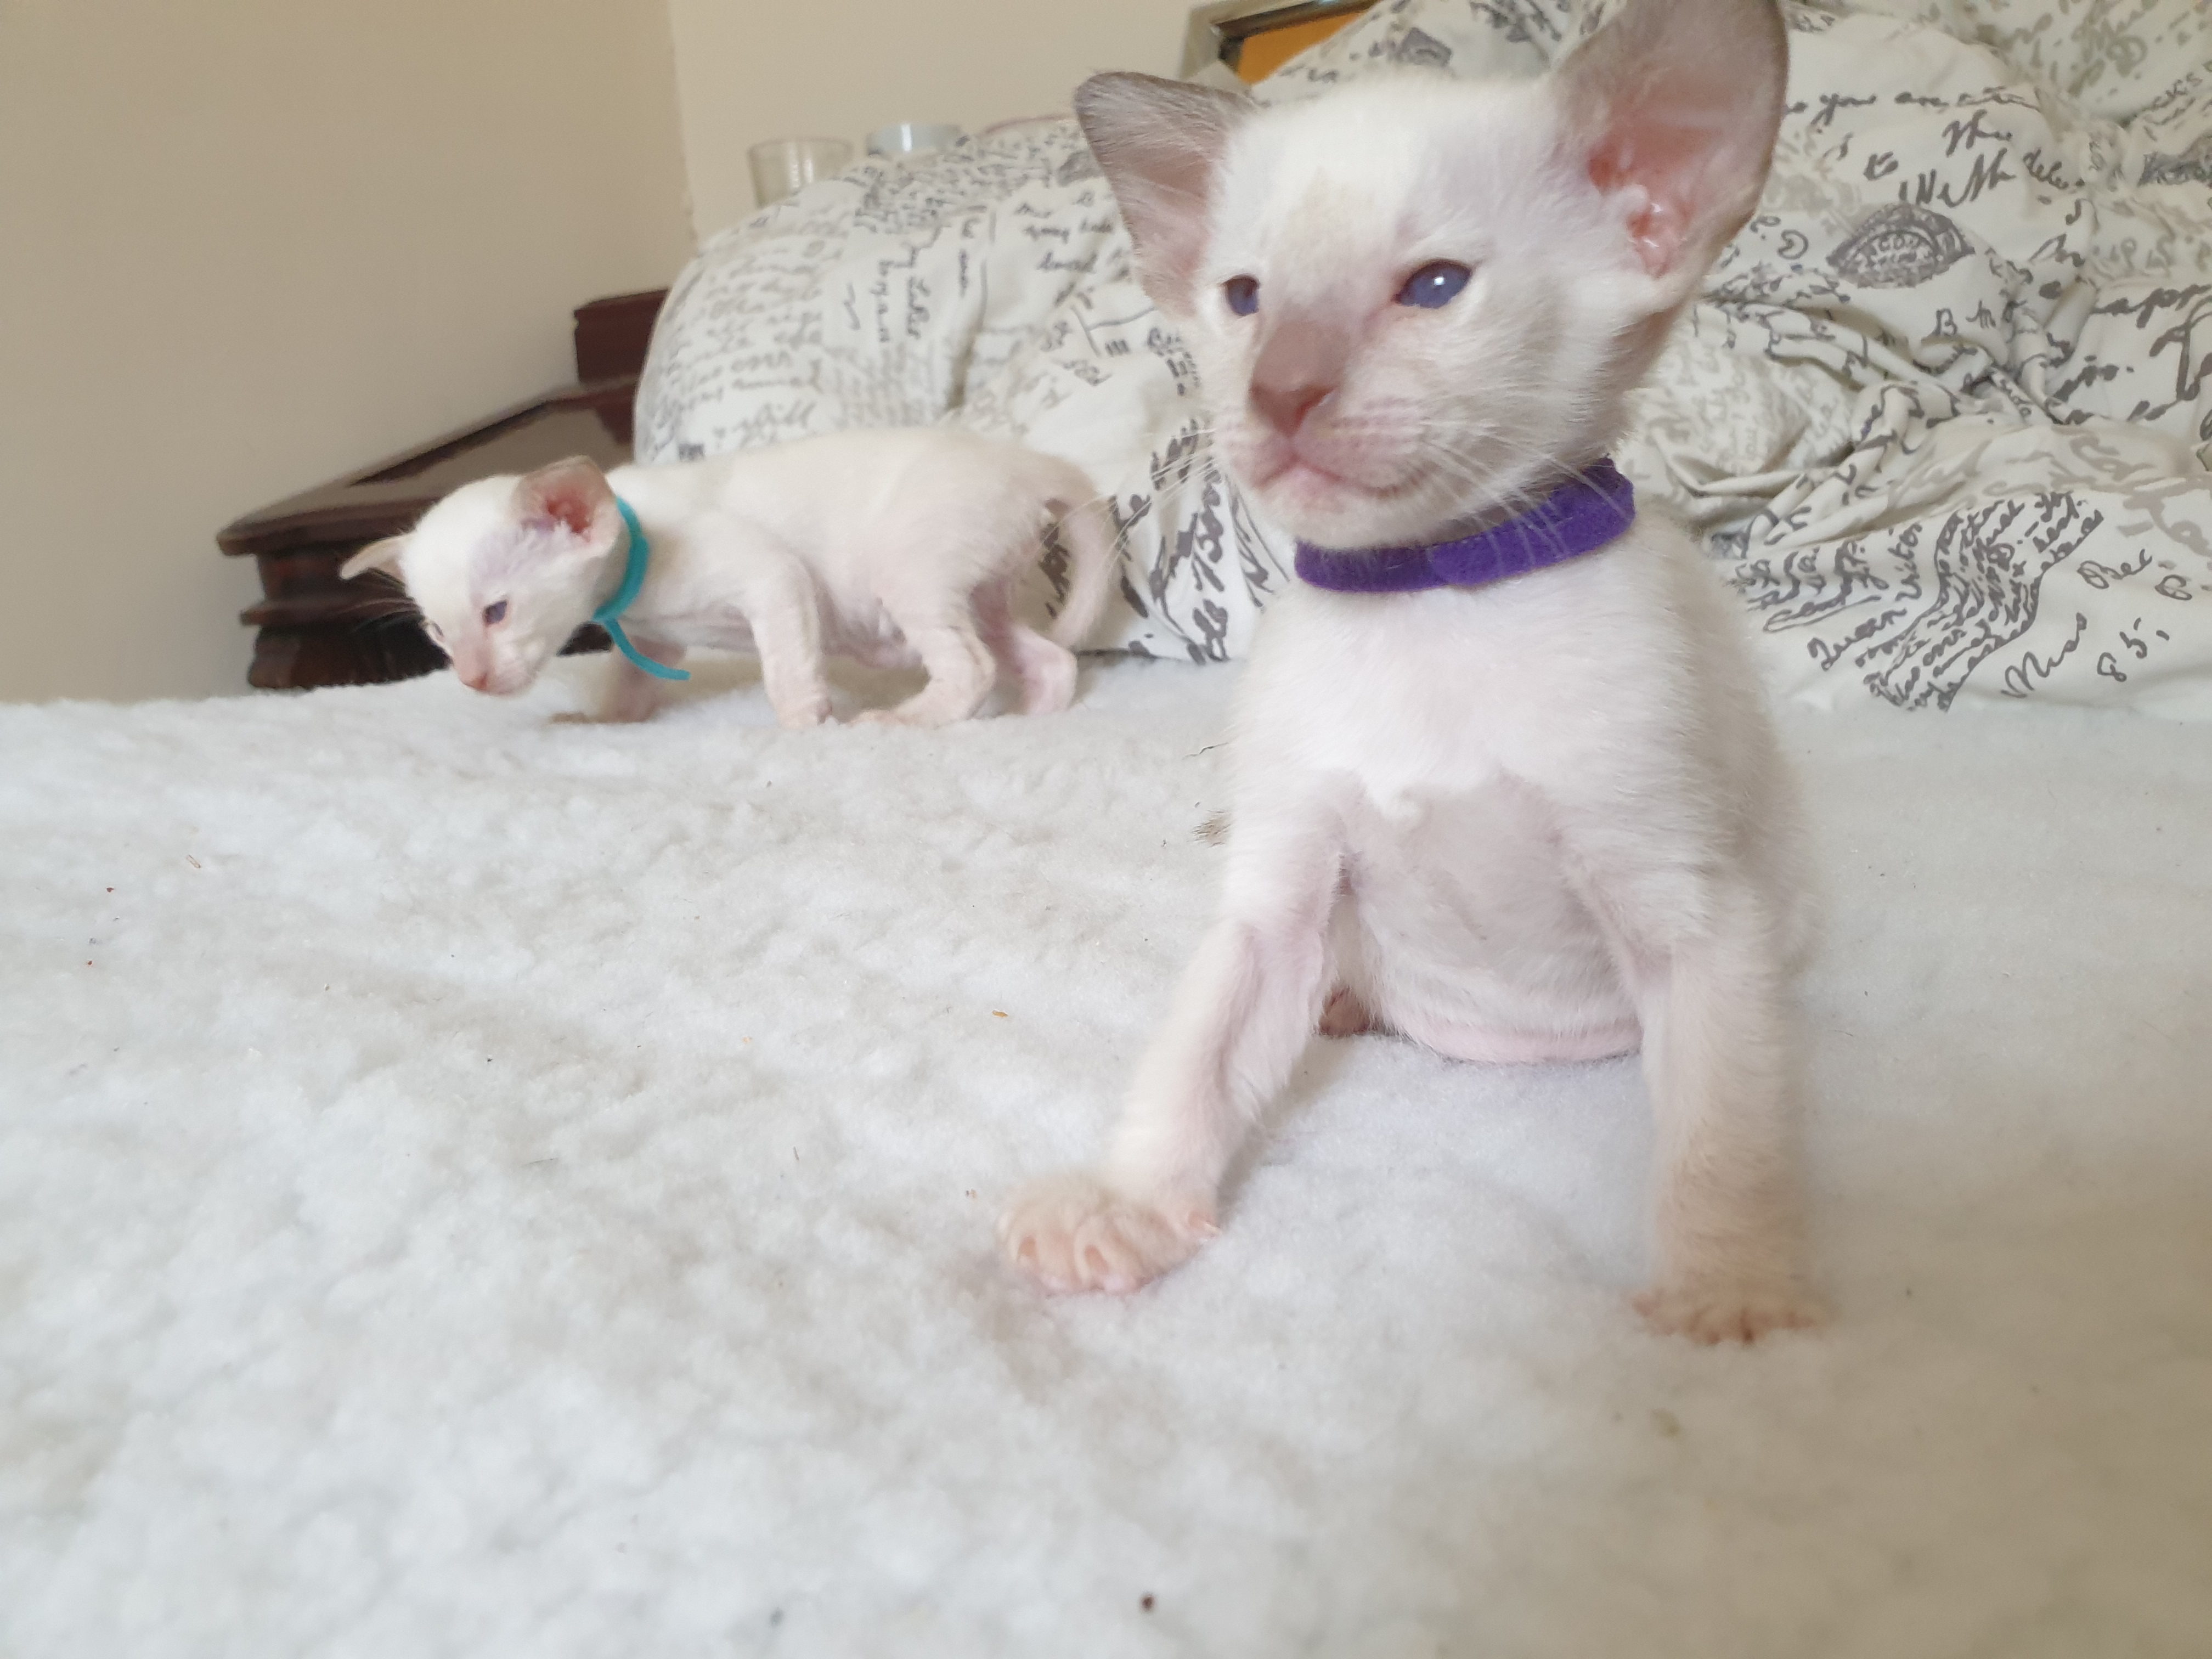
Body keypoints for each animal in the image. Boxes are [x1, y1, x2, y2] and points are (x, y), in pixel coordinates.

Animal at [341, 428, 1118, 728]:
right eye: (438, 632)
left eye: (496, 612)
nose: (471, 680)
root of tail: (1024, 462)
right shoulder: (653, 640)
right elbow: (630, 687)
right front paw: (600, 722)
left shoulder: (773, 576)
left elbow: (786, 667)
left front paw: (806, 722)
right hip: (979, 592)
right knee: (1047, 658)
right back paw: (1037, 717)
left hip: (913, 574)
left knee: (972, 668)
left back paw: (906, 720)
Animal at [999, 0, 1821, 1341]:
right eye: (1244, 298)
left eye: (1433, 288)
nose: (1280, 392)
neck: (1430, 589)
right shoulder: (1280, 888)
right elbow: (1193, 1059)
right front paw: (1130, 1202)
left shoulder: (1682, 905)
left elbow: (1721, 1125)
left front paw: (1730, 1285)